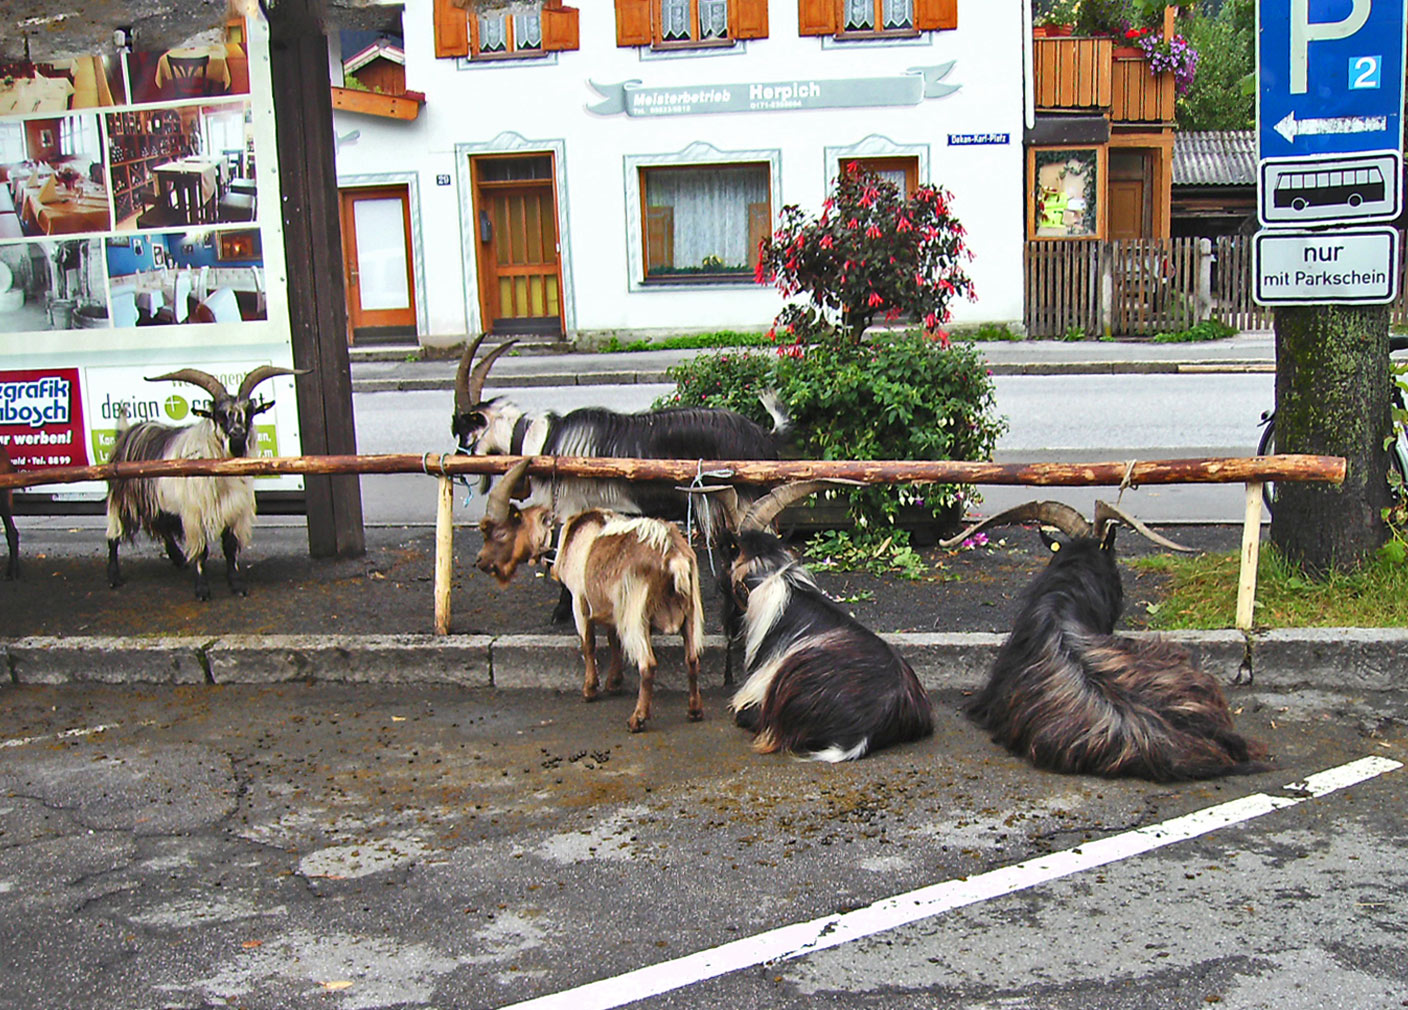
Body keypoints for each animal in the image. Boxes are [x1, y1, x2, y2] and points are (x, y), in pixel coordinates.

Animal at [484, 459, 709, 732]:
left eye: (501, 532)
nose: (481, 563)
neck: (567, 537)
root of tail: (674, 557)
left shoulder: (579, 600)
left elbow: (588, 643)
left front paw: (590, 689)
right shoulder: (612, 606)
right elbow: (613, 640)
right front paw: (614, 682)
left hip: (637, 615)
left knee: (647, 665)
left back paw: (637, 719)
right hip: (691, 612)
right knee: (692, 659)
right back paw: (694, 711)